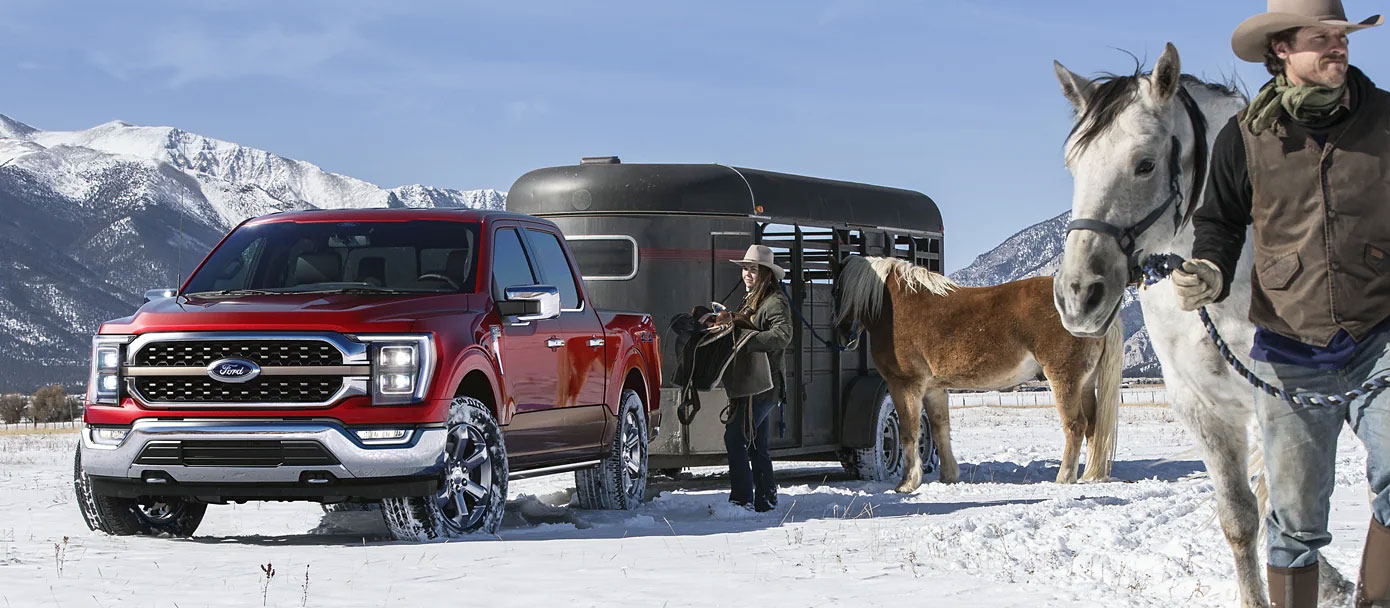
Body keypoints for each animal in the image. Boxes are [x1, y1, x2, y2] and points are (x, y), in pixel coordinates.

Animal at [828, 253, 1123, 489]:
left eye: (835, 290)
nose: (842, 336)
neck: (897, 307)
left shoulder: (905, 384)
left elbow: (910, 432)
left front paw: (907, 483)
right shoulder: (934, 388)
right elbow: (940, 429)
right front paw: (948, 476)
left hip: (1064, 379)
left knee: (1076, 425)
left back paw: (1064, 477)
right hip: (1086, 383)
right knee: (1093, 426)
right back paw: (1090, 475)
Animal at [1050, 43, 1345, 606]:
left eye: (1144, 164)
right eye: (1072, 164)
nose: (1078, 294)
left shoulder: (1283, 405)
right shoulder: (1202, 408)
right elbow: (1241, 520)